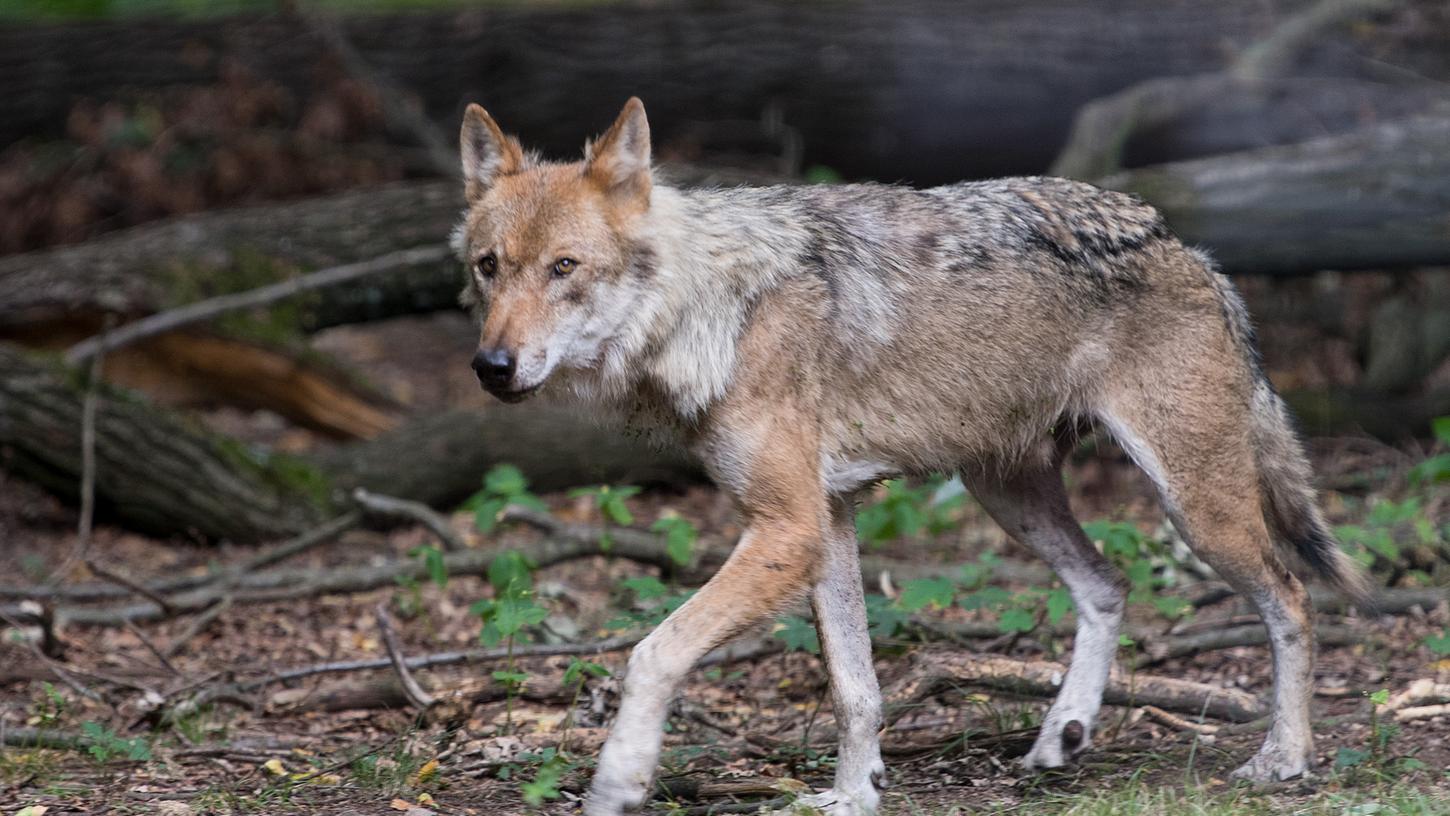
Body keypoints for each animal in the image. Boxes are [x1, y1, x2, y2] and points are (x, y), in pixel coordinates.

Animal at [455, 99, 1368, 811]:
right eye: (489, 267)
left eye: (565, 267)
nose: (490, 367)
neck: (711, 312)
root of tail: (1184, 244)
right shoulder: (824, 525)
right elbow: (854, 687)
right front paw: (853, 795)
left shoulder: (786, 529)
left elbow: (651, 655)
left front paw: (619, 780)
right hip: (1006, 494)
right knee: (1109, 584)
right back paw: (1061, 736)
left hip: (1192, 507)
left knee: (1292, 598)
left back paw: (1285, 758)